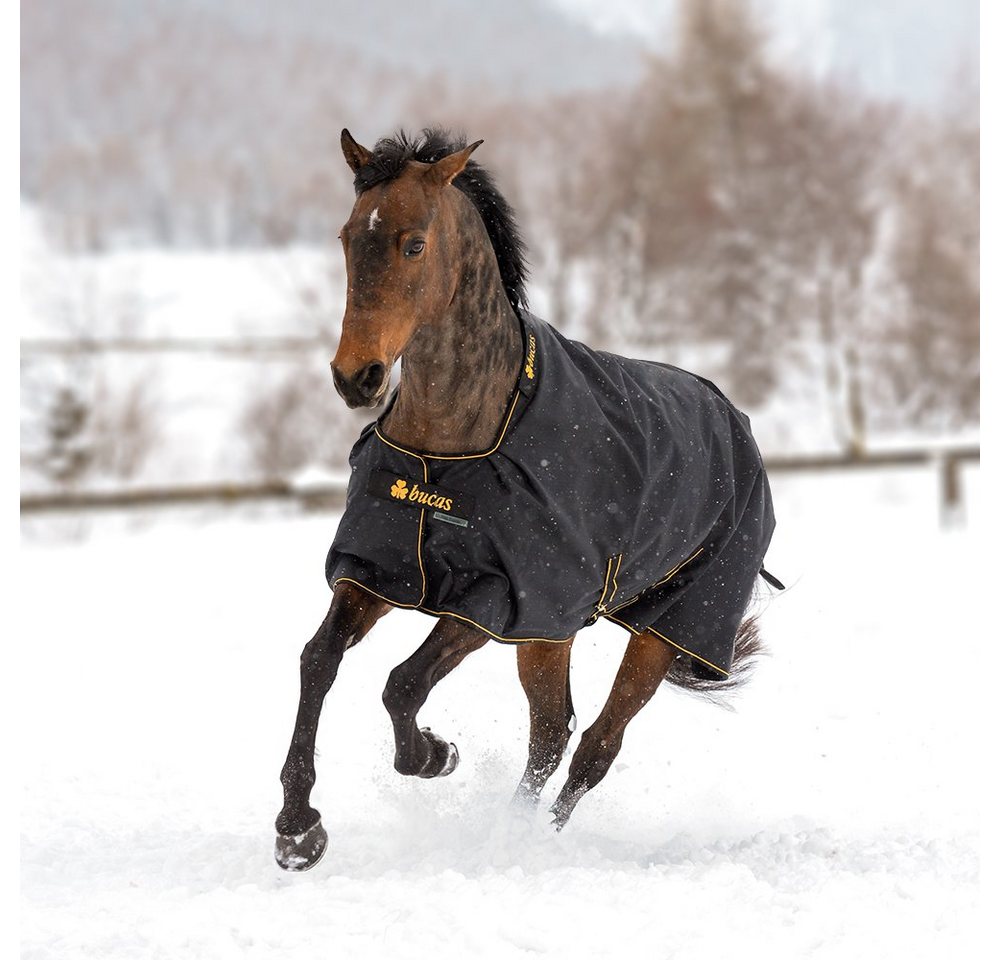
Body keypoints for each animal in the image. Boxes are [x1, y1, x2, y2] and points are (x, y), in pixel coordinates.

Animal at [274, 128, 777, 871]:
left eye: (413, 244)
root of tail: (734, 420)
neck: (450, 449)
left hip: (658, 628)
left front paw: (436, 755)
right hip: (550, 633)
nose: (354, 376)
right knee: (552, 729)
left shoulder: (496, 596)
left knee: (594, 745)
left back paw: (521, 843)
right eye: (346, 236)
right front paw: (298, 828)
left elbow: (402, 683)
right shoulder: (381, 571)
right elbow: (318, 661)